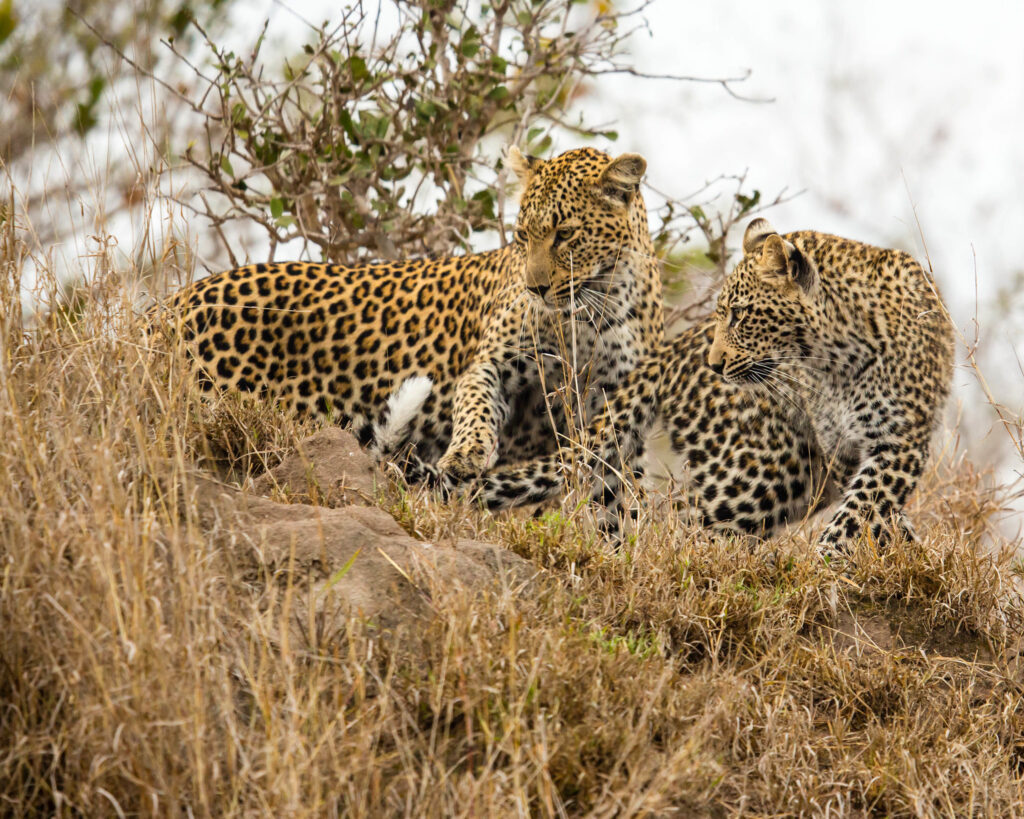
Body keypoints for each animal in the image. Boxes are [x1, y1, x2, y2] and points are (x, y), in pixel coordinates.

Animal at [157, 146, 664, 479]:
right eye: (523, 234)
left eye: (565, 234)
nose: (534, 288)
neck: (596, 307)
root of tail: (163, 307)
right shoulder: (494, 362)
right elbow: (475, 404)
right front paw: (465, 454)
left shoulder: (619, 401)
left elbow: (620, 495)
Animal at [468, 219, 954, 566]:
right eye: (726, 313)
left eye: (740, 315)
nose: (715, 364)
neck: (834, 358)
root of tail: (673, 349)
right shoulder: (843, 447)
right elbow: (861, 511)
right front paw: (832, 566)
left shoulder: (894, 444)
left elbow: (864, 509)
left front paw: (900, 557)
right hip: (763, 469)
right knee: (685, 528)